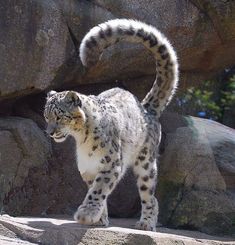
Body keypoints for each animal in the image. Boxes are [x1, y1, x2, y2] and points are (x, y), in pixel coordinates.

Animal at [43, 18, 178, 231]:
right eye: (46, 116)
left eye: (59, 117)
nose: (49, 132)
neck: (82, 139)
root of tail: (145, 107)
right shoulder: (87, 167)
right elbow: (95, 188)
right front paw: (99, 218)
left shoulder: (111, 162)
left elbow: (99, 189)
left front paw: (86, 214)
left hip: (146, 161)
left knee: (150, 193)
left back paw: (147, 223)